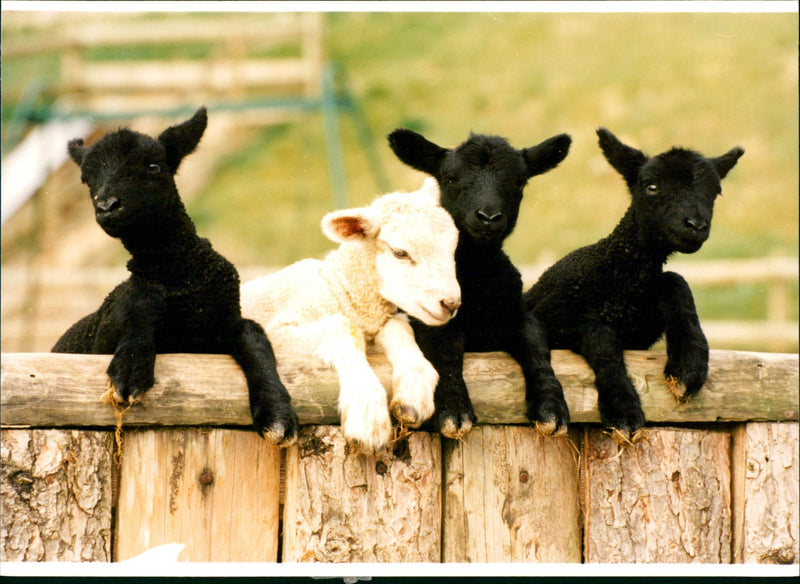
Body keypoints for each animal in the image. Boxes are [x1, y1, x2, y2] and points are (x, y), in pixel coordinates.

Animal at [52, 107, 298, 446]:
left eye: (154, 166)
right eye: (87, 181)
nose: (107, 207)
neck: (180, 276)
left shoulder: (226, 320)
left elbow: (254, 336)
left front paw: (277, 413)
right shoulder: (104, 332)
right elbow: (142, 301)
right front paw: (131, 368)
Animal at [241, 178, 461, 453]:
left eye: (453, 249)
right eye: (400, 252)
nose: (451, 303)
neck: (340, 289)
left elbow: (398, 328)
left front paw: (414, 391)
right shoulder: (279, 331)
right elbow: (343, 327)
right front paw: (367, 412)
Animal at [387, 129, 572, 439]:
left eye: (519, 181)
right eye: (450, 178)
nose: (488, 217)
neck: (478, 274)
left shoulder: (516, 315)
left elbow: (536, 348)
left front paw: (551, 408)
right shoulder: (430, 319)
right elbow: (444, 352)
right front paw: (453, 411)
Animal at [524, 128, 744, 439]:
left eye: (715, 191)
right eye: (651, 187)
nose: (696, 226)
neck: (623, 277)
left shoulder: (642, 329)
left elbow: (675, 281)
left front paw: (689, 363)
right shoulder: (553, 319)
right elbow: (601, 338)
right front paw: (623, 411)